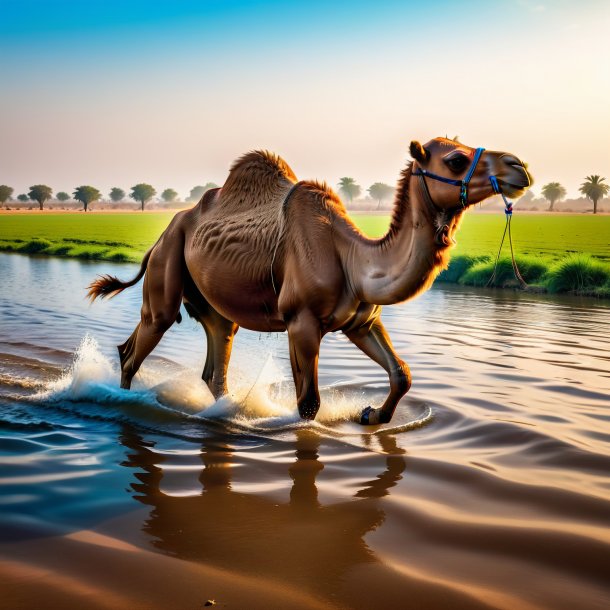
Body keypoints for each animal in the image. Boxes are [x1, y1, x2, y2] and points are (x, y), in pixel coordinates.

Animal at [88, 138, 528, 422]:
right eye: (455, 160)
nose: (519, 167)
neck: (353, 257)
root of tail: (163, 234)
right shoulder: (300, 322)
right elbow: (309, 404)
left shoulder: (362, 321)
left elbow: (402, 373)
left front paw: (371, 415)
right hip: (167, 265)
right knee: (139, 341)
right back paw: (118, 401)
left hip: (212, 304)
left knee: (216, 357)